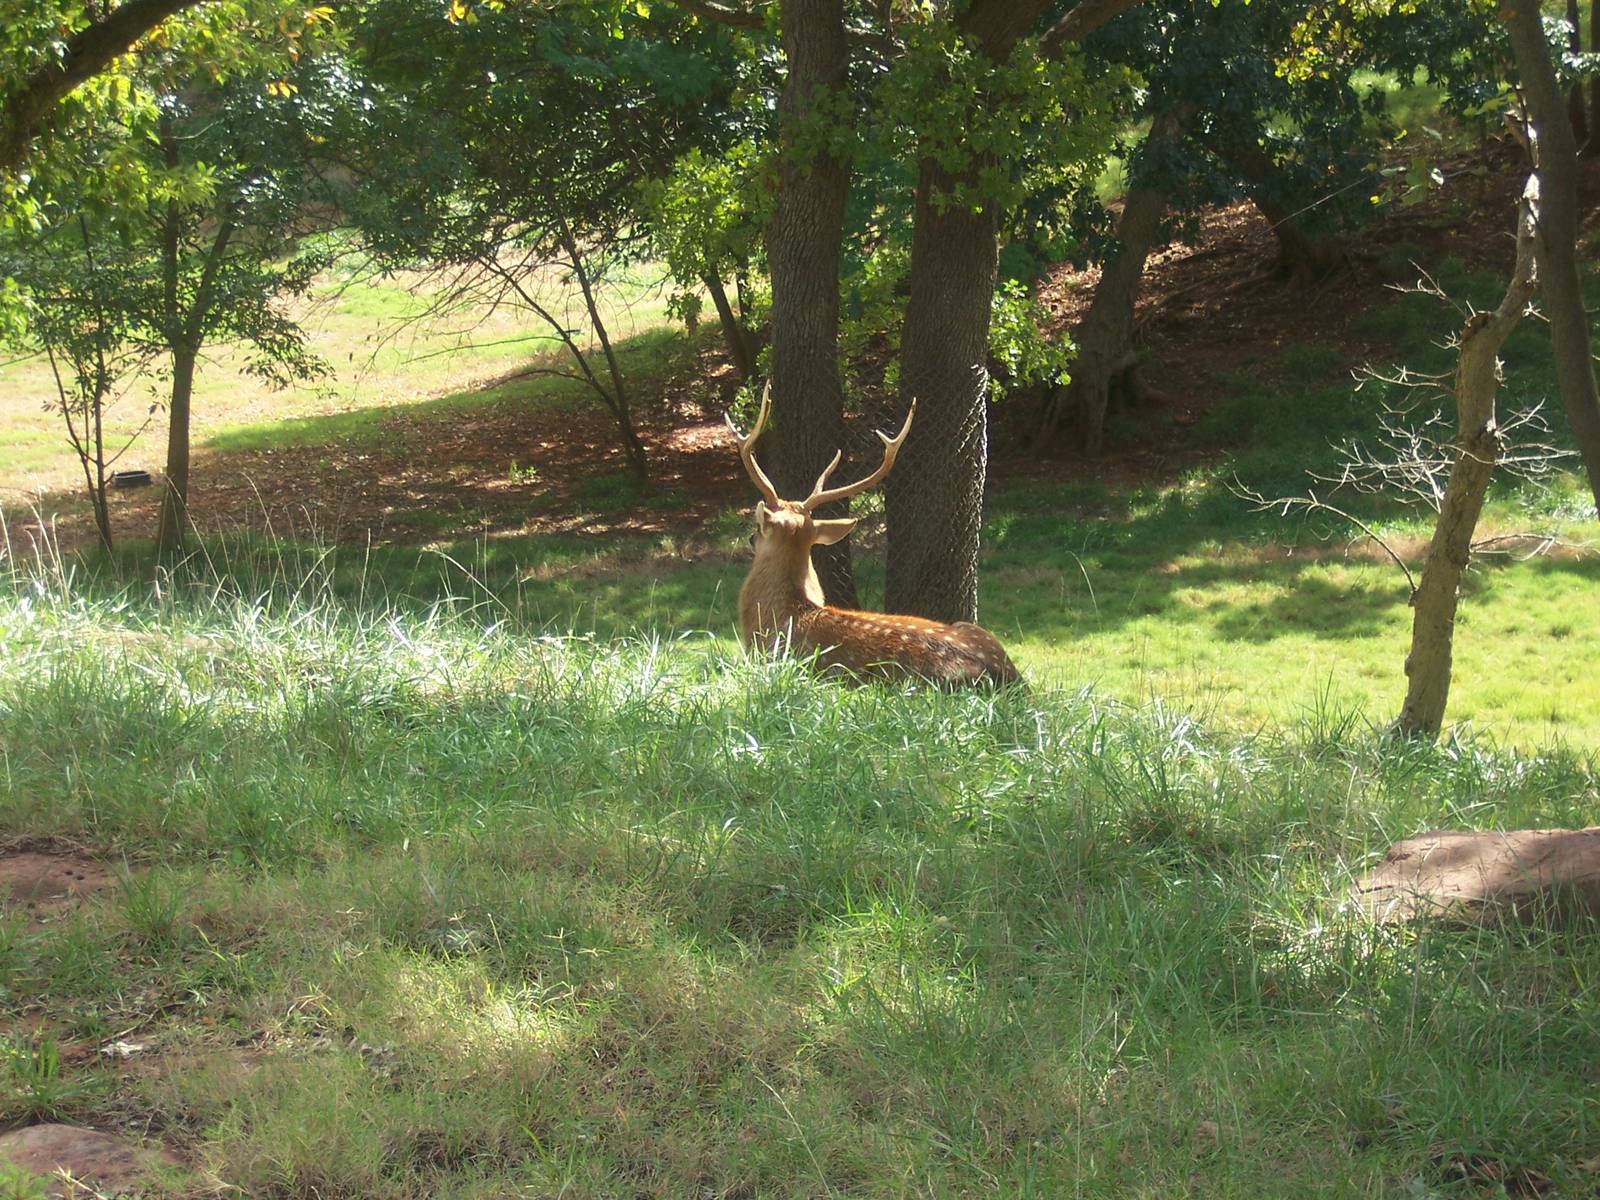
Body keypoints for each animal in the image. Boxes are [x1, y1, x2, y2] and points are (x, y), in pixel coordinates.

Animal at [727, 384, 1022, 688]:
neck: (783, 614)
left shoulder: (767, 658)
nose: (751, 539)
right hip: (973, 628)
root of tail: (1006, 676)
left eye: (758, 527)